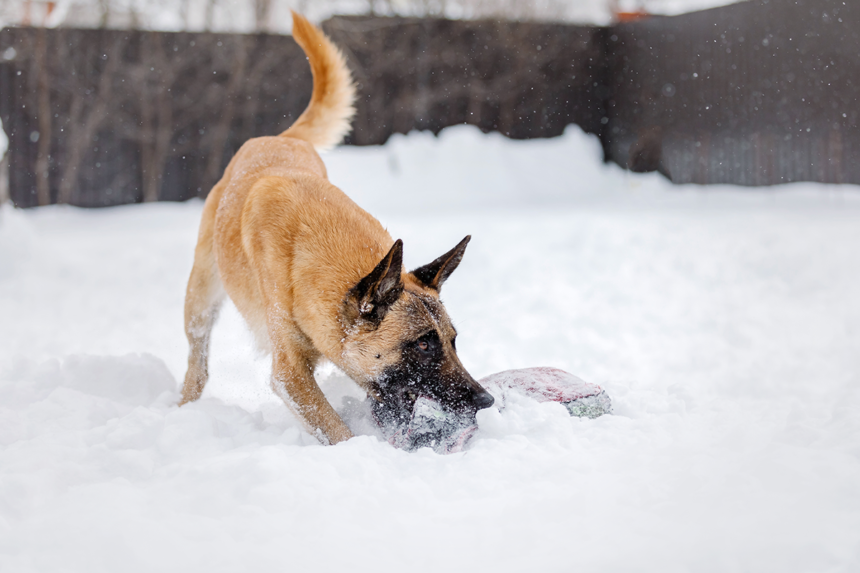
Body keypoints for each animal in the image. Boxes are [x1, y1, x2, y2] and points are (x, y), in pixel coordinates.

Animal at [178, 11, 494, 444]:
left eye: (453, 341)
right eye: (423, 345)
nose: (486, 400)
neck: (317, 263)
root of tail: (279, 138)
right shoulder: (290, 374)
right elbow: (336, 429)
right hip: (200, 299)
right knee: (198, 359)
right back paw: (183, 408)